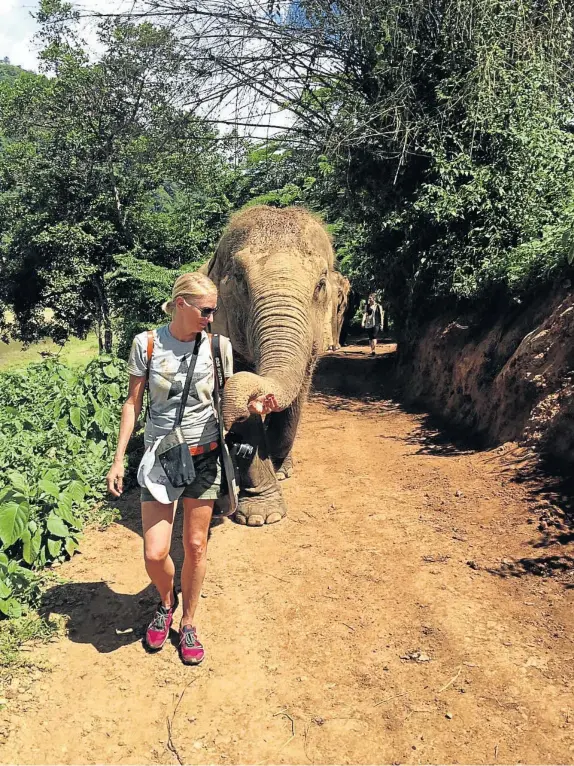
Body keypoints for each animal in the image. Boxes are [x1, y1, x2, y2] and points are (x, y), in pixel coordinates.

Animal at [204, 206, 336, 528]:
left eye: (320, 284)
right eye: (239, 279)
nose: (226, 428)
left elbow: (299, 392)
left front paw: (277, 474)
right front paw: (262, 517)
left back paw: (283, 469)